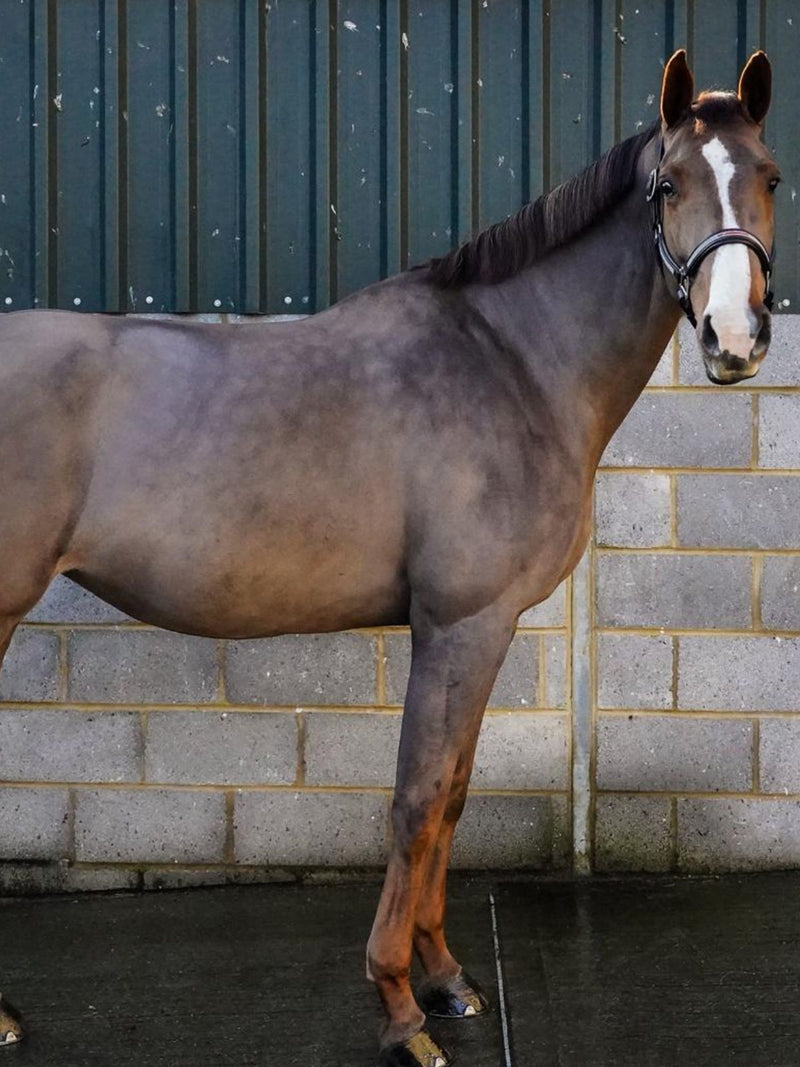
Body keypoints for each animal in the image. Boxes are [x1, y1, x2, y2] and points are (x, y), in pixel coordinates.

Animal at [0, 49, 779, 1067]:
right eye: (668, 183)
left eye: (770, 178)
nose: (734, 337)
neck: (512, 363)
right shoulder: (458, 625)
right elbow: (415, 800)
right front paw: (402, 1008)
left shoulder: (486, 631)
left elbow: (451, 798)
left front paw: (447, 979)